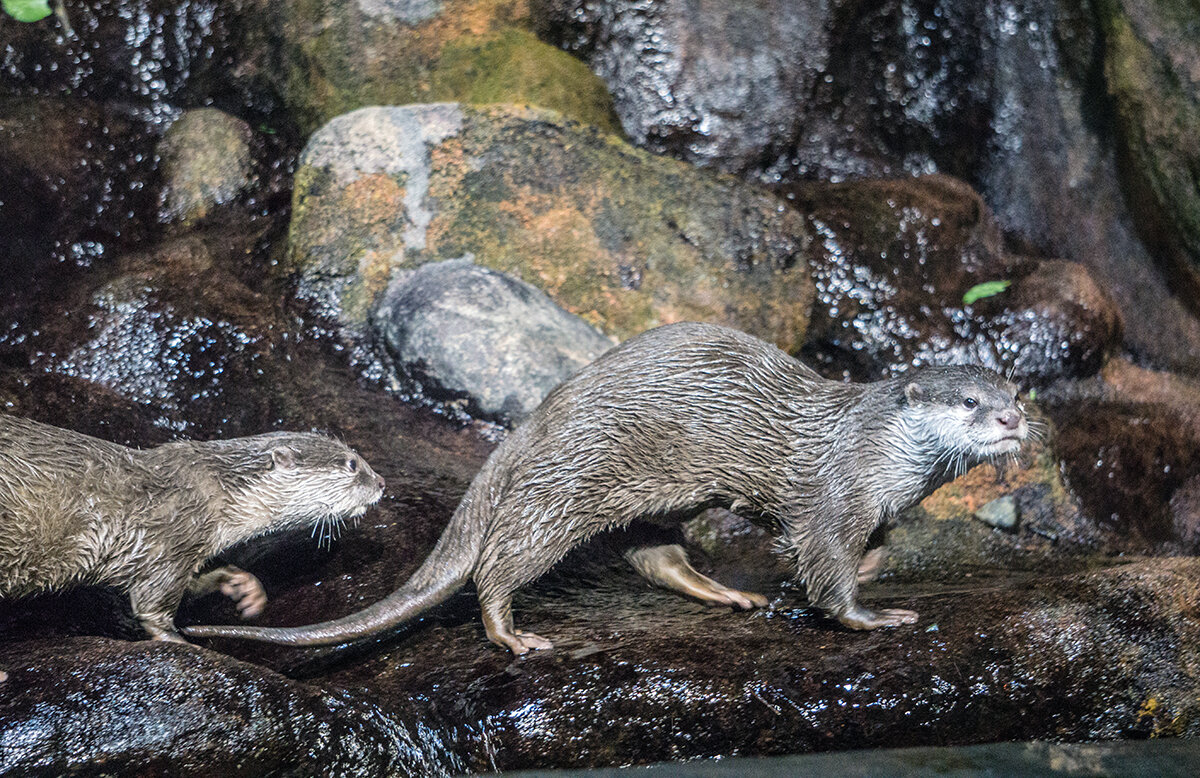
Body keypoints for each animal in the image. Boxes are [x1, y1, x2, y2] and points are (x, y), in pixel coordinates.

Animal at [0, 415, 384, 643]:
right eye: (352, 464)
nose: (381, 482)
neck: (216, 494)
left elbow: (194, 584)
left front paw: (242, 586)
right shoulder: (171, 540)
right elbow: (152, 607)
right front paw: (180, 642)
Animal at [182, 324, 1027, 653]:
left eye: (1012, 388)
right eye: (966, 402)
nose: (1014, 418)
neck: (872, 451)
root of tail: (535, 419)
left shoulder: (877, 506)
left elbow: (866, 548)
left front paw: (873, 569)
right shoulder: (834, 496)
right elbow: (827, 570)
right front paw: (873, 615)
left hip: (657, 496)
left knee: (656, 556)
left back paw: (729, 594)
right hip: (568, 486)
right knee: (501, 562)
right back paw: (511, 633)